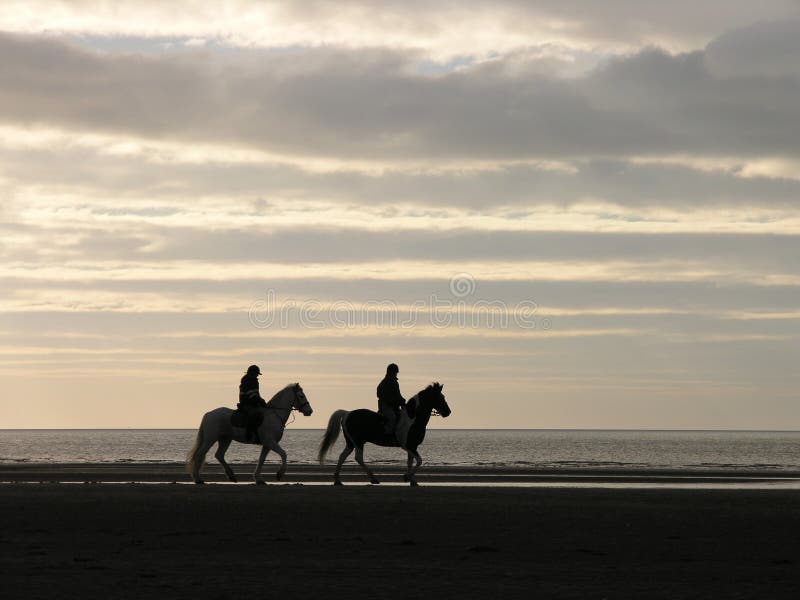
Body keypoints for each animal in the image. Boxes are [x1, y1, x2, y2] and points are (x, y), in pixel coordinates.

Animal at [318, 382, 450, 486]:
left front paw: (412, 480)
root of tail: (347, 413)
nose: (448, 412)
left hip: (351, 443)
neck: (413, 418)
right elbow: (419, 461)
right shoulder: (408, 446)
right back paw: (373, 479)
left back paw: (337, 480)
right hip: (358, 442)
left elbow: (411, 462)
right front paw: (407, 477)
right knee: (358, 458)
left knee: (342, 456)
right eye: (440, 397)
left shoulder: (412, 447)